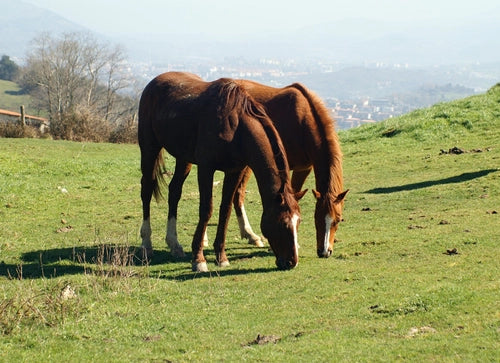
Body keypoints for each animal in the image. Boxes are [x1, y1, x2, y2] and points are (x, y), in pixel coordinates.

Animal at [138, 71, 304, 272]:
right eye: (282, 223)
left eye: (298, 222)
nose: (292, 262)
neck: (236, 126)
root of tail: (155, 82)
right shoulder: (206, 168)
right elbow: (206, 210)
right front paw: (199, 259)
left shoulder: (234, 171)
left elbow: (225, 210)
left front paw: (221, 256)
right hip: (149, 148)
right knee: (146, 190)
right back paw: (146, 245)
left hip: (183, 159)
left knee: (174, 191)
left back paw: (174, 244)